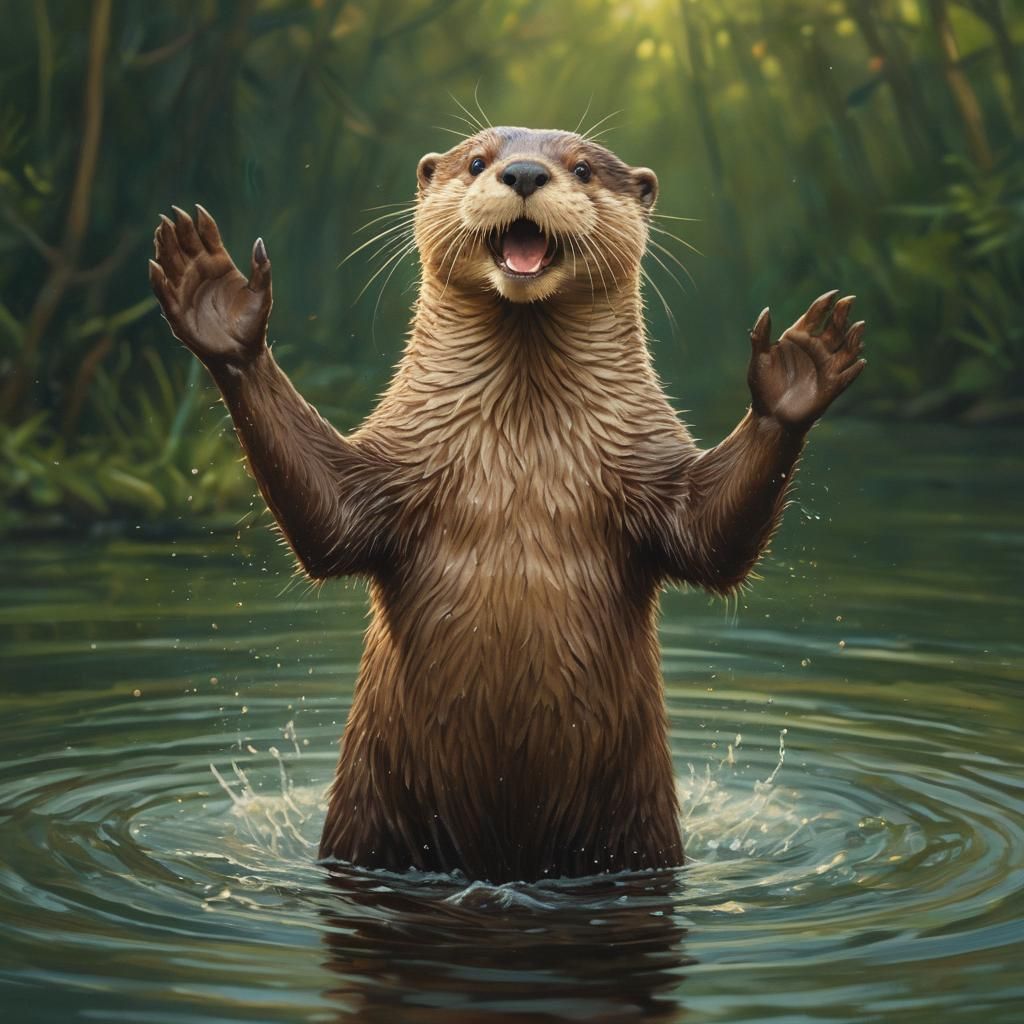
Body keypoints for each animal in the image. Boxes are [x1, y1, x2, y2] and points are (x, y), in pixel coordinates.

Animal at [149, 126, 865, 883]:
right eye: (476, 160)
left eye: (583, 168)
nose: (524, 172)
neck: (521, 449)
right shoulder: (395, 463)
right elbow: (330, 527)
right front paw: (221, 313)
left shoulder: (648, 464)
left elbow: (709, 544)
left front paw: (796, 378)